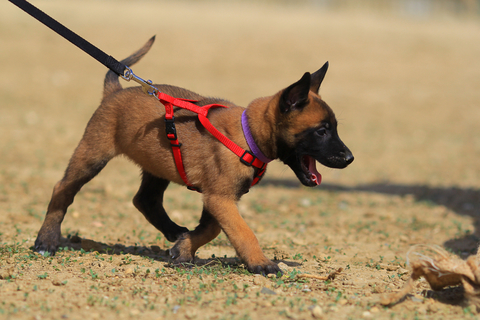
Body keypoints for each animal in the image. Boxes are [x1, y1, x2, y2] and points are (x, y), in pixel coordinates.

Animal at [33, 37, 352, 276]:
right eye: (322, 131)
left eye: (335, 128)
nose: (349, 158)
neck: (247, 134)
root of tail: (115, 92)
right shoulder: (220, 198)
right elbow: (241, 231)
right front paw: (261, 263)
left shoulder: (217, 198)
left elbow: (211, 227)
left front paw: (183, 248)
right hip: (92, 155)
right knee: (63, 189)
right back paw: (46, 240)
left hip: (157, 165)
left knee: (145, 200)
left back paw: (174, 231)